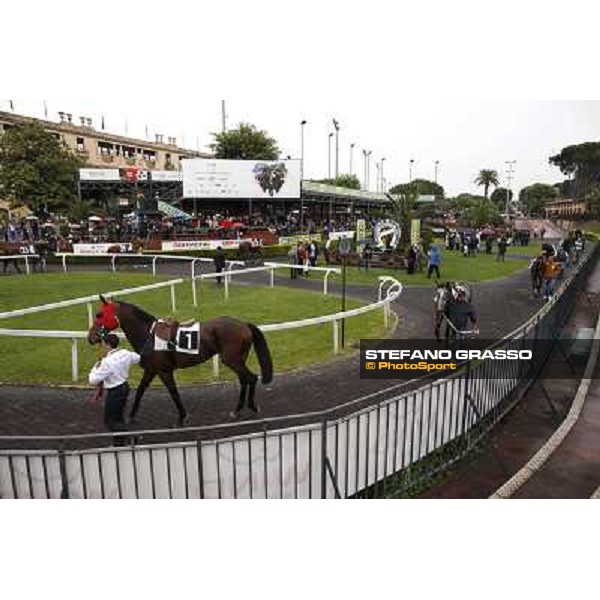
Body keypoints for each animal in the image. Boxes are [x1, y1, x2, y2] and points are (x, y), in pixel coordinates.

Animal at [87, 292, 274, 424]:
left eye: (99, 314)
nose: (91, 337)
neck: (149, 334)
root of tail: (244, 324)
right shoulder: (151, 370)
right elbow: (140, 390)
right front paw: (131, 416)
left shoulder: (164, 371)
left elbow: (173, 392)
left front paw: (182, 416)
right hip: (237, 359)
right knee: (244, 379)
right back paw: (238, 409)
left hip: (232, 359)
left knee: (251, 378)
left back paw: (250, 406)